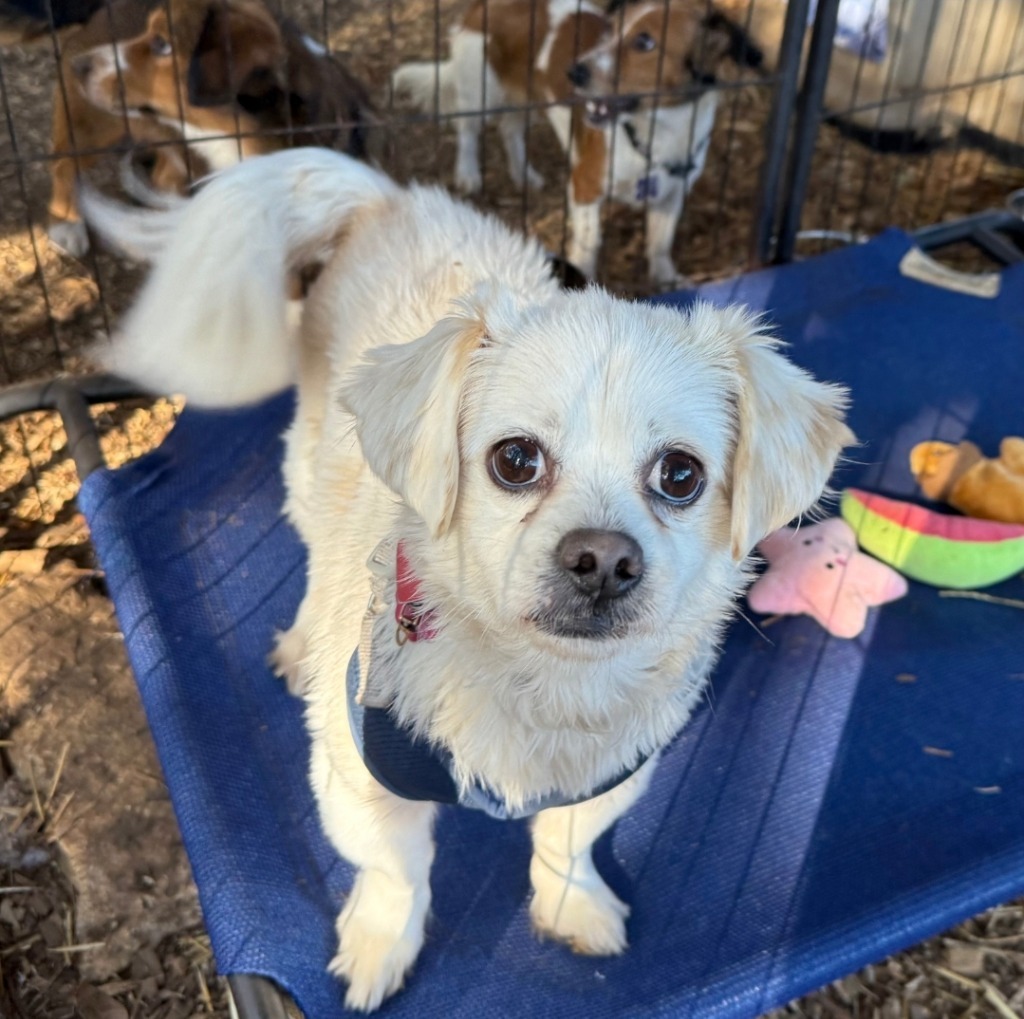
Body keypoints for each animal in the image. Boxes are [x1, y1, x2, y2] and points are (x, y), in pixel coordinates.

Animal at [81, 147, 856, 1015]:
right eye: (515, 460)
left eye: (681, 475)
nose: (603, 559)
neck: (537, 686)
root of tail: (392, 201)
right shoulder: (355, 782)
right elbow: (396, 872)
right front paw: (381, 945)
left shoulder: (608, 776)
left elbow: (565, 842)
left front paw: (571, 904)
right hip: (309, 462)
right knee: (314, 549)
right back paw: (302, 641)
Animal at [391, 0, 753, 286]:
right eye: (609, 32)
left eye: (645, 42)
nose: (574, 72)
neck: (656, 135)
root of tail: (486, 4)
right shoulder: (584, 187)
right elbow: (589, 243)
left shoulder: (672, 194)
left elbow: (660, 242)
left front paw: (666, 279)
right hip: (480, 91)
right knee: (467, 130)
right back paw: (468, 174)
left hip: (527, 99)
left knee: (510, 130)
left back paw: (524, 175)